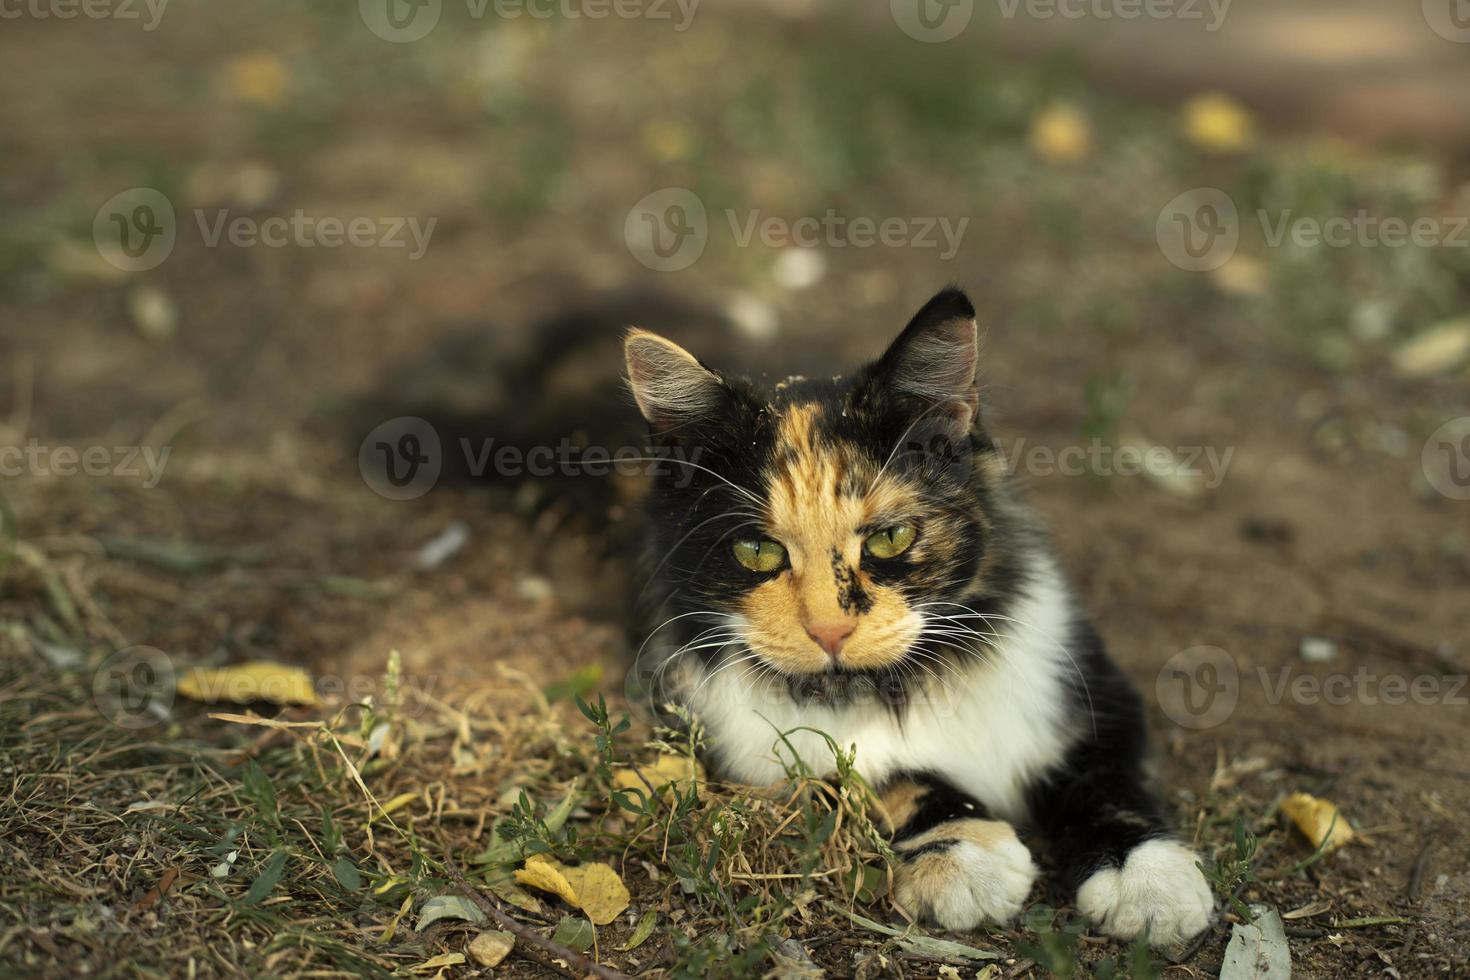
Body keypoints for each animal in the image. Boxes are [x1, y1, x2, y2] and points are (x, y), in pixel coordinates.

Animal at [626, 287, 1211, 946]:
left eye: (891, 538)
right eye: (756, 551)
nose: (830, 631)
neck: (919, 680)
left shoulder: (1087, 686)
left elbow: (1108, 782)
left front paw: (1146, 880)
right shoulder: (758, 743)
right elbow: (887, 773)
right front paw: (963, 856)